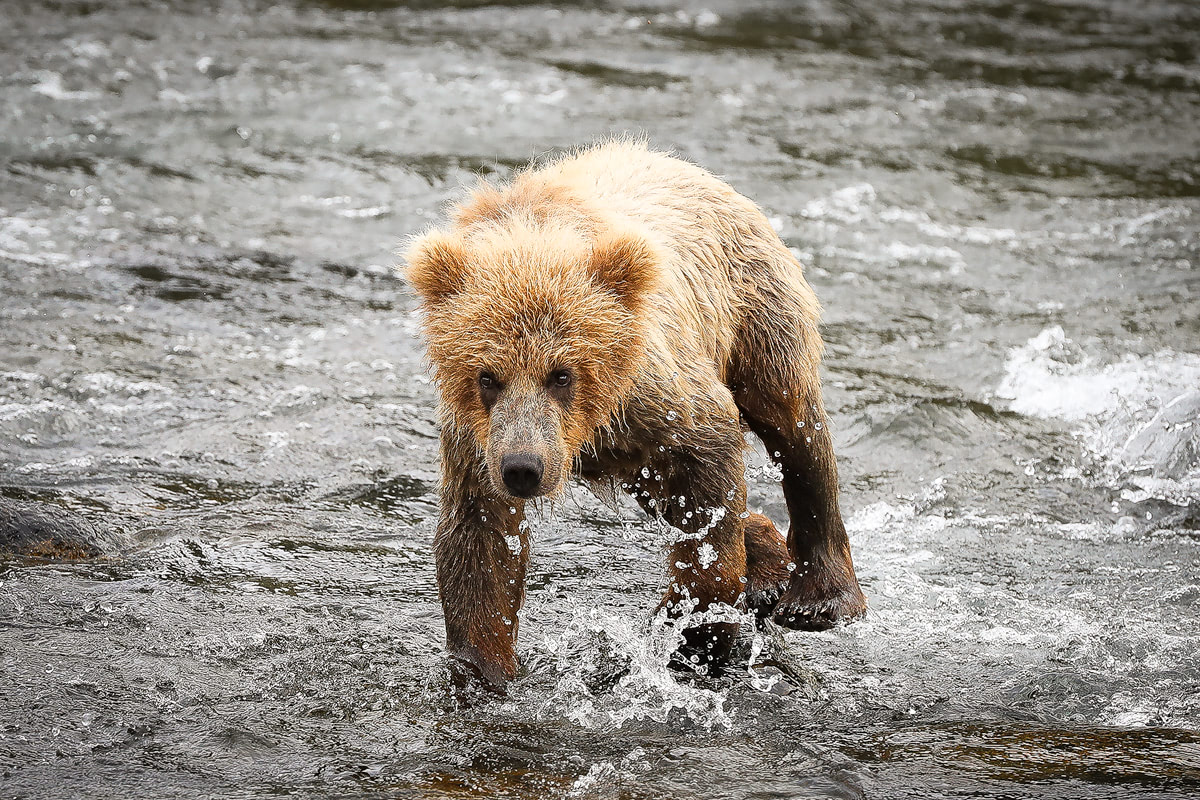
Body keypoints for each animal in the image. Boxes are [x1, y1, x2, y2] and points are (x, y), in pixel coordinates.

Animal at [400, 140, 864, 690]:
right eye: (487, 376)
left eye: (562, 374)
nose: (523, 469)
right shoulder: (478, 440)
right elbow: (480, 539)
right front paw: (482, 669)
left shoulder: (656, 389)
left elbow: (709, 480)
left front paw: (691, 630)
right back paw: (767, 560)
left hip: (755, 310)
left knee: (797, 431)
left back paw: (821, 594)